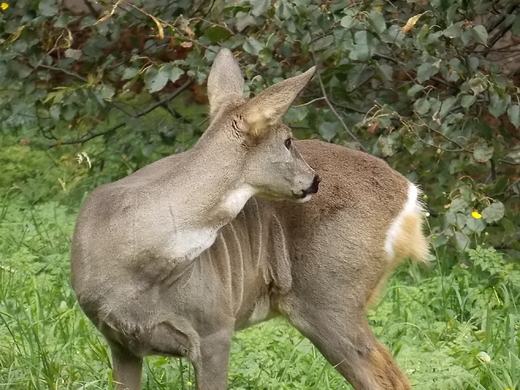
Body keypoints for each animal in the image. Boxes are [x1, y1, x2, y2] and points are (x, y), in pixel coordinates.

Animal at [72, 48, 430, 390]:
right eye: (287, 140)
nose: (315, 180)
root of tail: (409, 194)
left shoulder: (216, 328)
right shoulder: (119, 342)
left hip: (331, 296)